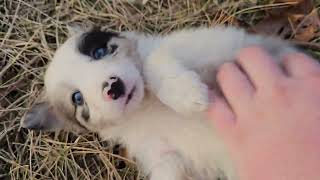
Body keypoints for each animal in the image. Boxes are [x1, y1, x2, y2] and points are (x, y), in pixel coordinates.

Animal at [21, 25, 298, 180]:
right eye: (77, 98)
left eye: (98, 52)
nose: (114, 87)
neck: (147, 107)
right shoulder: (167, 157)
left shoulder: (218, 46)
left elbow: (153, 60)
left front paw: (186, 93)